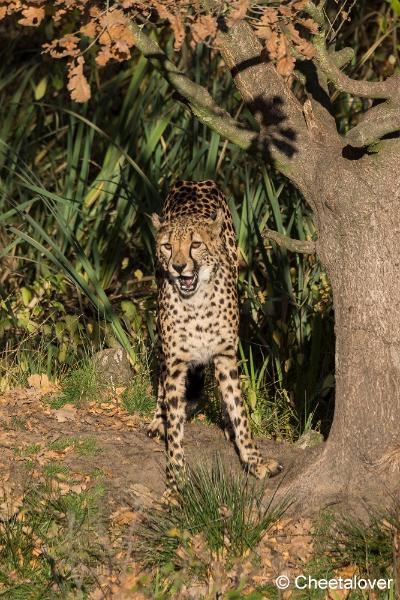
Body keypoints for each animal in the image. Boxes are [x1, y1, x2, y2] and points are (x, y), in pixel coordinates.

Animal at [148, 179, 282, 496]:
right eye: (167, 246)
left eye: (195, 244)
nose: (179, 267)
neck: (196, 302)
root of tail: (192, 181)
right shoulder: (175, 363)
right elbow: (175, 427)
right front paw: (176, 479)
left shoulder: (224, 355)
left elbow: (239, 409)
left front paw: (253, 459)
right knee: (160, 374)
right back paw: (158, 418)